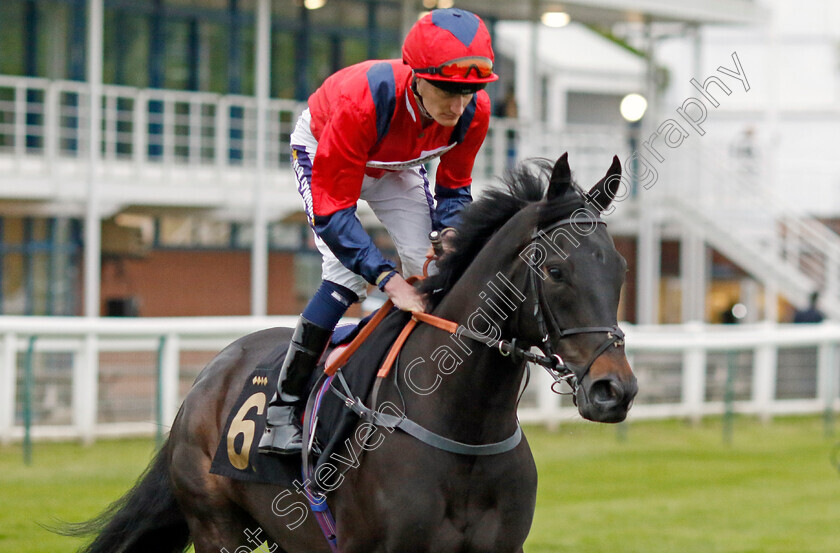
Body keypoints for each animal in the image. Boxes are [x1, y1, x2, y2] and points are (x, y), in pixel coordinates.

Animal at [72, 154, 636, 552]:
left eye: (620, 271)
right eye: (556, 270)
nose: (616, 390)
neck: (464, 430)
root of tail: (209, 375)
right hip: (217, 527)